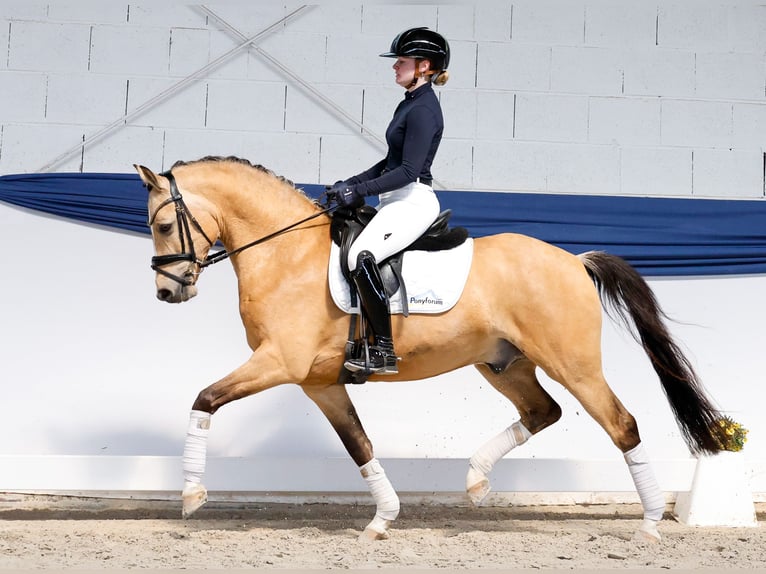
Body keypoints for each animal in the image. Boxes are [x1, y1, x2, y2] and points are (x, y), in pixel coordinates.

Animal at [135, 155, 729, 542]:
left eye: (163, 224)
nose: (168, 292)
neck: (286, 254)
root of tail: (575, 260)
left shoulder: (279, 363)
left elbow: (205, 399)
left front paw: (190, 496)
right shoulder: (318, 382)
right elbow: (359, 445)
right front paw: (382, 519)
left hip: (573, 364)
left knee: (621, 424)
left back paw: (649, 525)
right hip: (503, 364)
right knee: (543, 412)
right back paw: (476, 481)